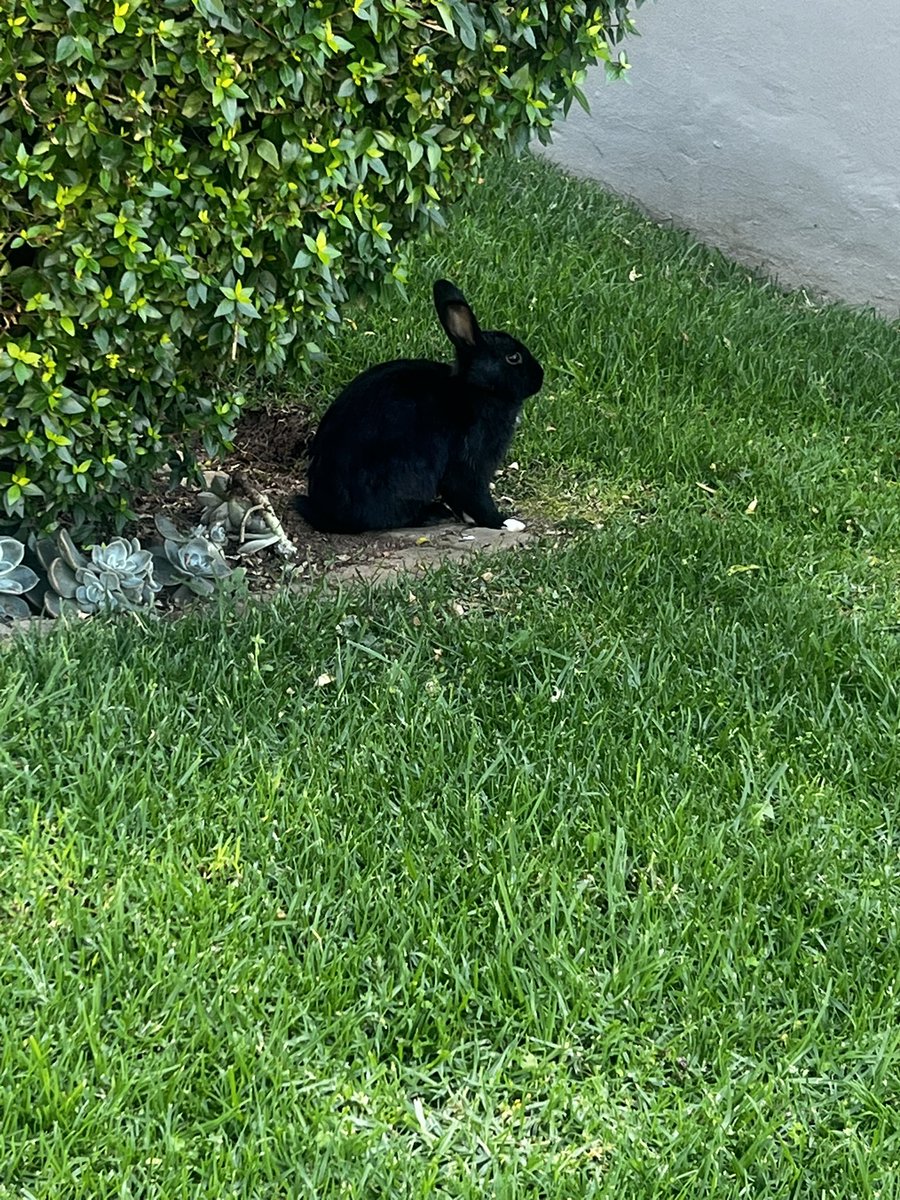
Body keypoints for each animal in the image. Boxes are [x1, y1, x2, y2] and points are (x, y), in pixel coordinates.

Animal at [293, 279, 543, 533]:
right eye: (513, 358)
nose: (540, 377)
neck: (476, 388)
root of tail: (332, 516)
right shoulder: (470, 463)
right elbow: (475, 496)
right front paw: (505, 522)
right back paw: (434, 513)